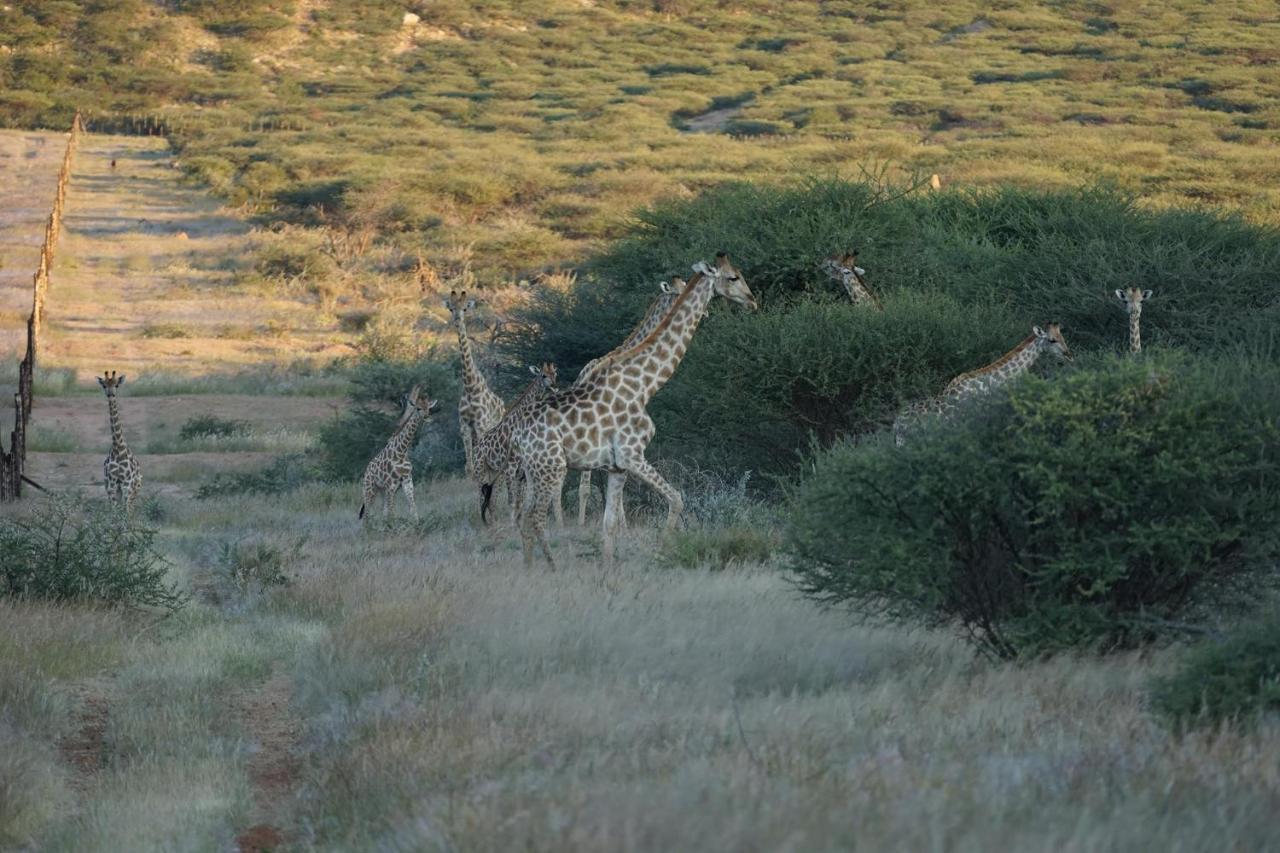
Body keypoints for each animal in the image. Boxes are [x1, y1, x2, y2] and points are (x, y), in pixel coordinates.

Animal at [96, 366, 140, 512]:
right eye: (104, 385)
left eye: (116, 385)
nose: (110, 395)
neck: (118, 447)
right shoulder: (111, 484)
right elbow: (114, 511)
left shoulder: (127, 483)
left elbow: (126, 512)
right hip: (116, 488)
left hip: (135, 487)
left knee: (131, 509)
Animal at [358, 386, 437, 522]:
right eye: (418, 408)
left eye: (429, 407)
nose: (428, 417)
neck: (402, 451)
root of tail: (366, 470)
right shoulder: (391, 484)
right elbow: (392, 513)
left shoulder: (407, 481)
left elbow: (413, 510)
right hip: (369, 489)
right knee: (367, 515)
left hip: (382, 490)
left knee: (381, 511)